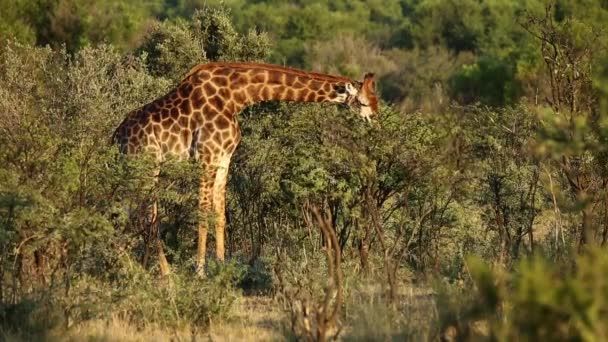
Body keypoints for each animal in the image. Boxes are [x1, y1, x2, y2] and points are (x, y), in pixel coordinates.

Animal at [113, 62, 378, 276]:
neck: (236, 98)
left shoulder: (224, 159)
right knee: (147, 215)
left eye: (376, 102)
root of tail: (116, 137)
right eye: (364, 102)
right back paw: (161, 272)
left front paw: (221, 266)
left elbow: (220, 213)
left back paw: (127, 265)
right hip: (147, 166)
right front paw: (200, 271)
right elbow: (203, 212)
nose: (376, 121)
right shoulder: (206, 157)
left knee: (125, 210)